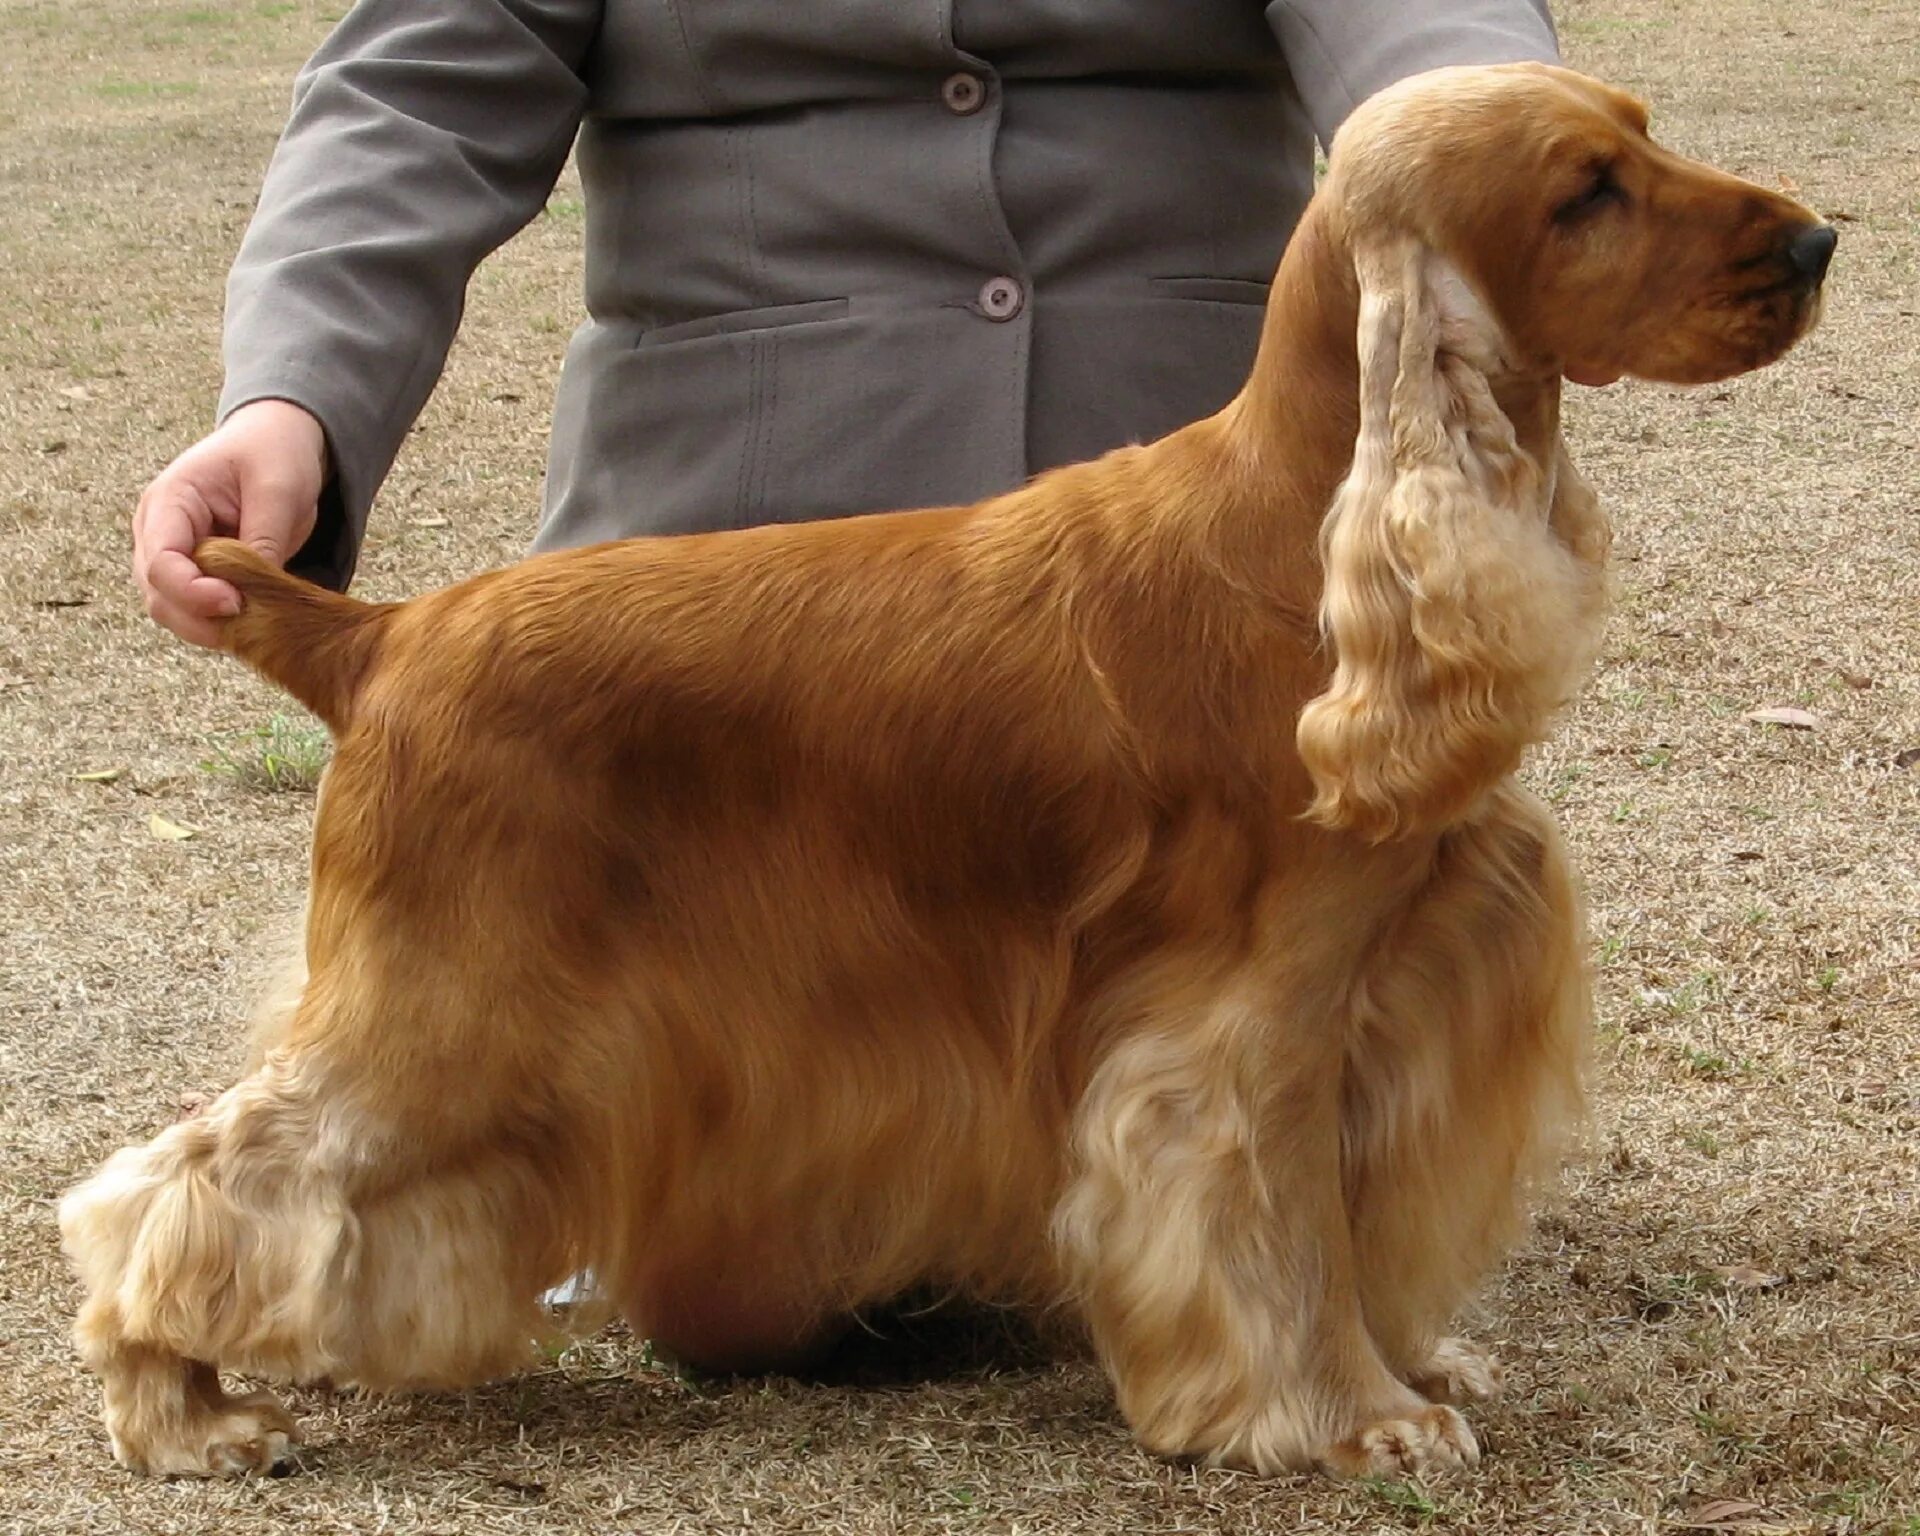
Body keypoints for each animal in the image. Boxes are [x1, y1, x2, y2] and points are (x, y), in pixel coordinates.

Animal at [60, 66, 1827, 1482]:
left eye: (1646, 132)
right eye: (1585, 193)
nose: (1817, 243)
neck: (1300, 538)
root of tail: (385, 634)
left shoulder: (1382, 983)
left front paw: (1414, 1364)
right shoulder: (1252, 1020)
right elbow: (1292, 1230)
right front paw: (1355, 1416)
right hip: (451, 998)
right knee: (193, 1178)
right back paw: (180, 1413)